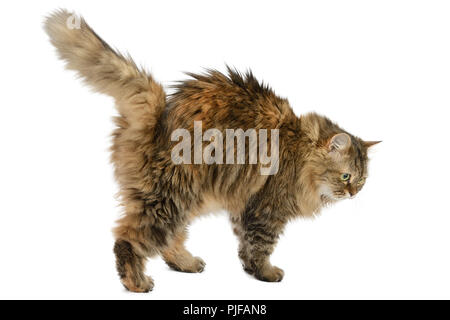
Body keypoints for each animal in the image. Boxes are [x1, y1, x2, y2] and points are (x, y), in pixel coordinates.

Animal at [44, 9, 380, 292]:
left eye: (362, 181)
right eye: (346, 176)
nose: (354, 193)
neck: (299, 152)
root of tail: (159, 119)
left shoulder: (245, 207)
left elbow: (246, 245)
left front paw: (250, 270)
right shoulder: (267, 209)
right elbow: (261, 245)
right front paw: (266, 273)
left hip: (186, 198)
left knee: (170, 241)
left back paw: (186, 263)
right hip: (169, 199)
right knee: (128, 238)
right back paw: (137, 282)